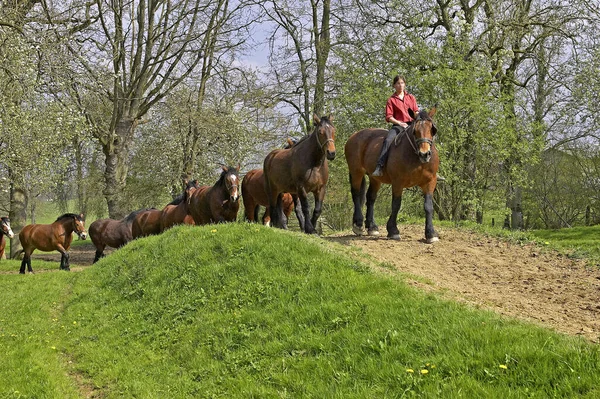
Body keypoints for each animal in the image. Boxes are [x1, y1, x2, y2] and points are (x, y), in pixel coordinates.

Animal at [344, 107, 438, 244]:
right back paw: (358, 224)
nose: (424, 154)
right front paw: (393, 230)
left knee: (371, 198)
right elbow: (396, 204)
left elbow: (428, 206)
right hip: (356, 171)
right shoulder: (398, 182)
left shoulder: (430, 182)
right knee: (356, 194)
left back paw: (372, 226)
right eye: (414, 131)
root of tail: (354, 135)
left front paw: (430, 233)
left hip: (375, 178)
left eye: (432, 129)